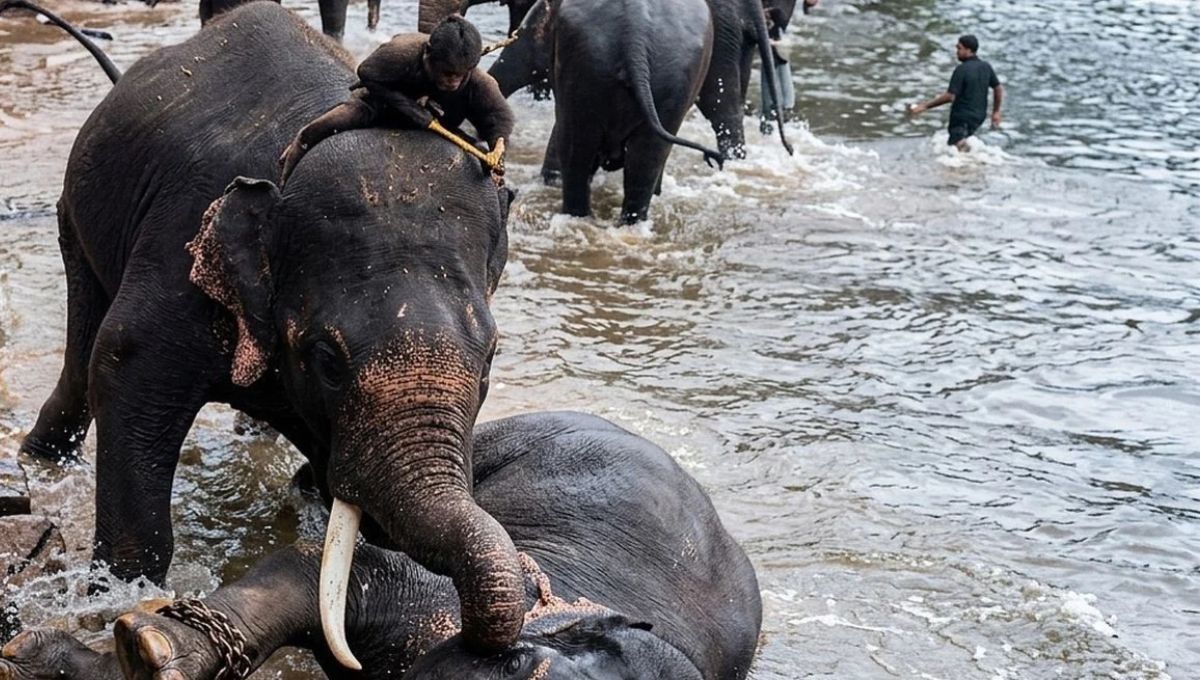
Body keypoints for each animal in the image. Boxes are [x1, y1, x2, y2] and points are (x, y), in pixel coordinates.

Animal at [8, 0, 525, 656]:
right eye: (326, 360)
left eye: (490, 360)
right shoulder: (182, 246)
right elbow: (125, 368)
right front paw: (117, 600)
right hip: (77, 211)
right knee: (84, 345)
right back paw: (44, 457)